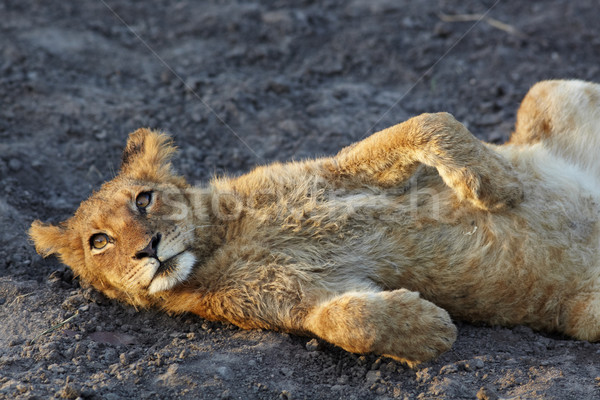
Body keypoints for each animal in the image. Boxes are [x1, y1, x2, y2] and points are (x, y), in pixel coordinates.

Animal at [30, 79, 600, 368]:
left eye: (144, 199)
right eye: (98, 241)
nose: (147, 249)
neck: (224, 237)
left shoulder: (340, 172)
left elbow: (426, 123)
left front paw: (496, 186)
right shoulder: (292, 298)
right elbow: (345, 321)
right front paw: (427, 328)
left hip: (551, 91)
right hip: (588, 317)